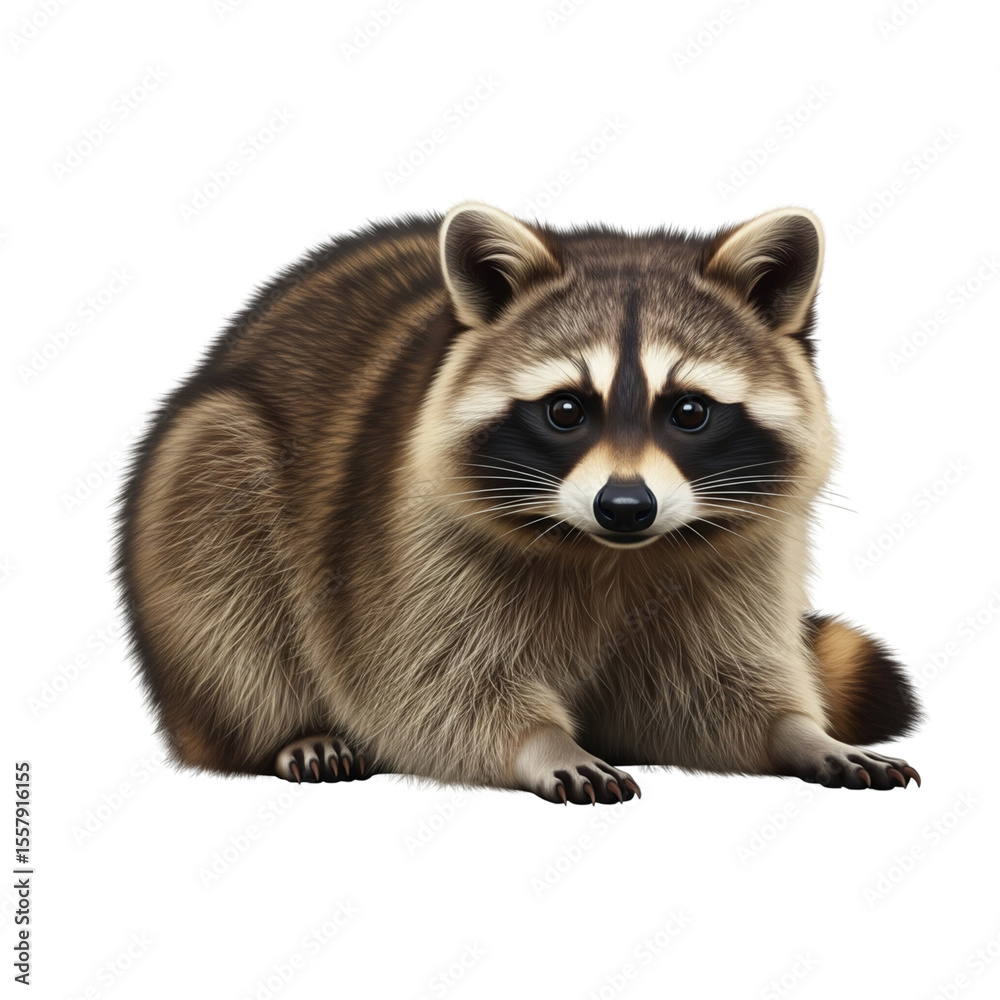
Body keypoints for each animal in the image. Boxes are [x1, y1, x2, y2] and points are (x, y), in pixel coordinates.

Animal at [116, 203, 921, 804]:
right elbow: (427, 687)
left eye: (689, 411)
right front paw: (544, 743)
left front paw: (802, 731)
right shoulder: (412, 542)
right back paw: (289, 731)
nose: (624, 506)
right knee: (226, 596)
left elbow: (723, 688)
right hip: (208, 474)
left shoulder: (745, 553)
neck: (613, 555)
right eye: (565, 410)